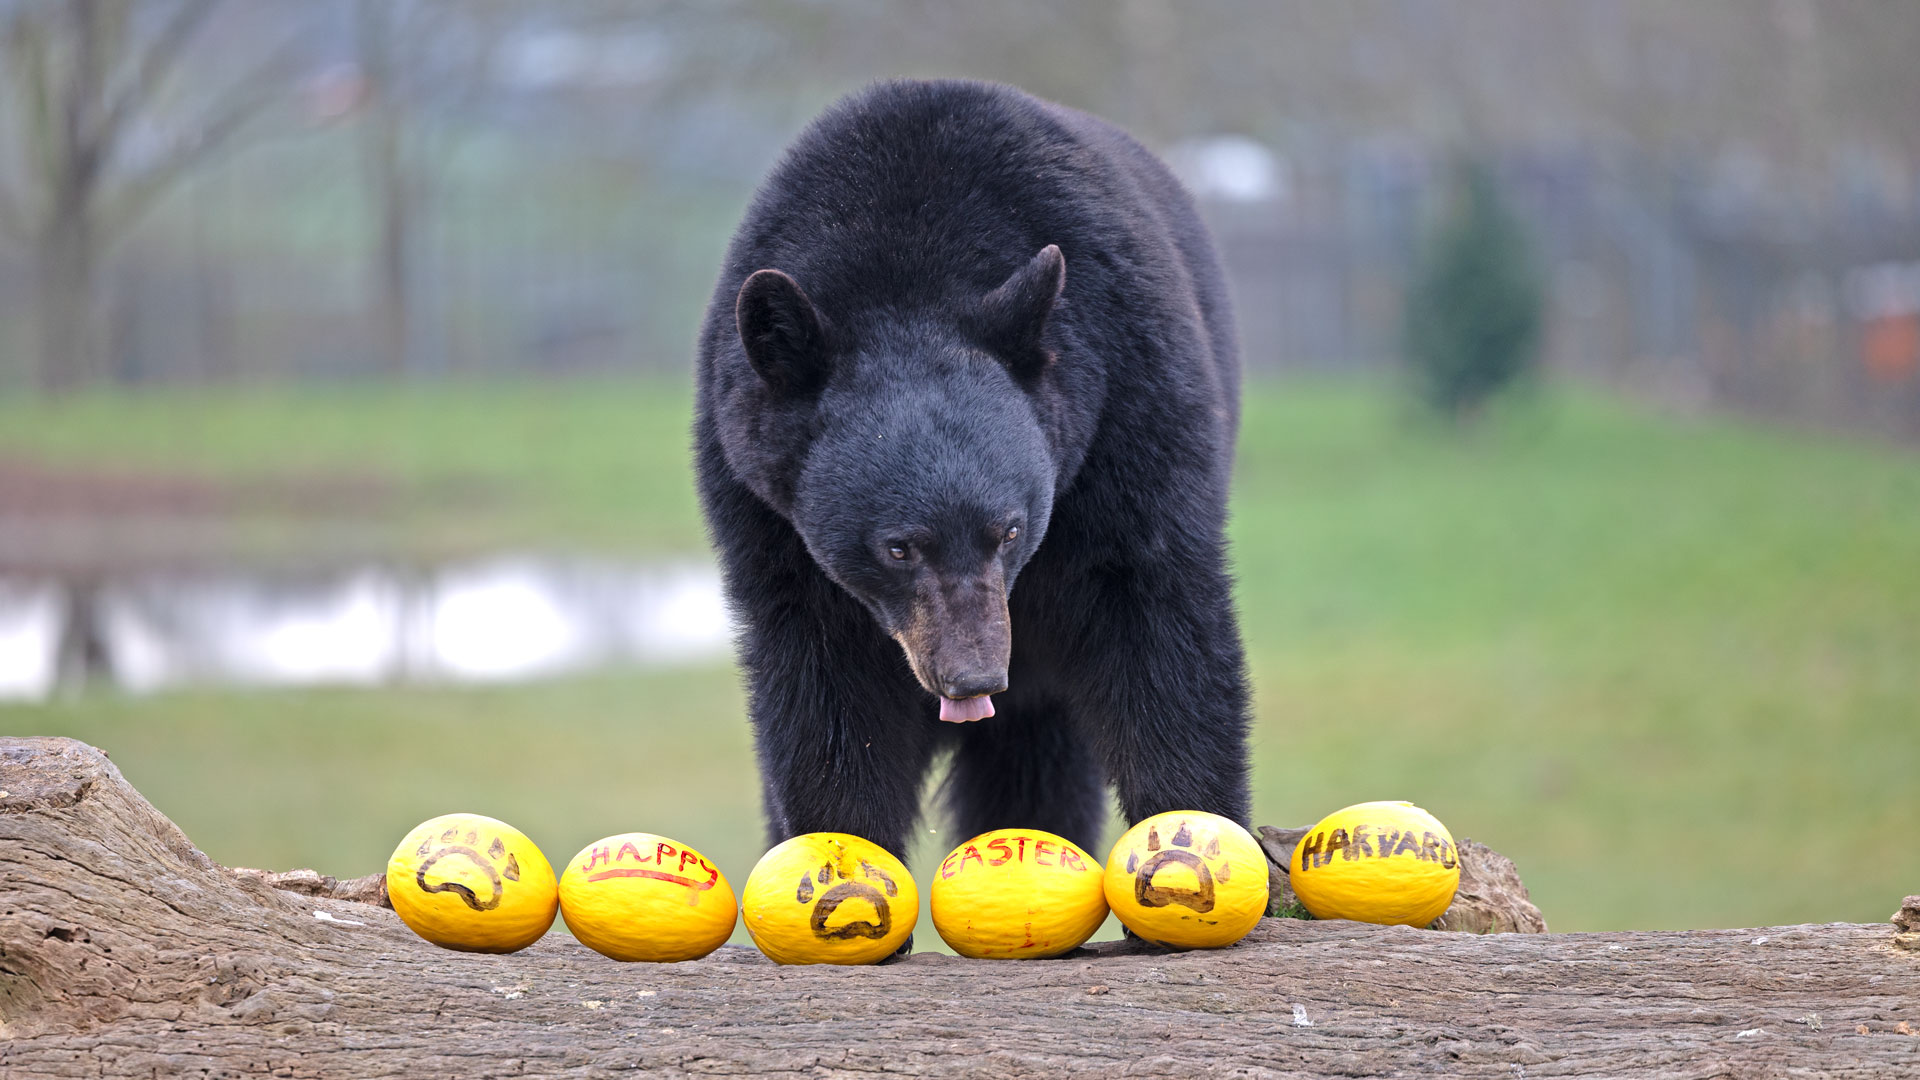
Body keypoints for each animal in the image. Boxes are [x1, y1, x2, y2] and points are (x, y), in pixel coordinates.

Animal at [694, 79, 1250, 869]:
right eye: (898, 547)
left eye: (1009, 531)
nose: (975, 676)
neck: (907, 274)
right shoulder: (763, 516)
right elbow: (826, 708)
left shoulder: (1131, 408)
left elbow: (1164, 631)